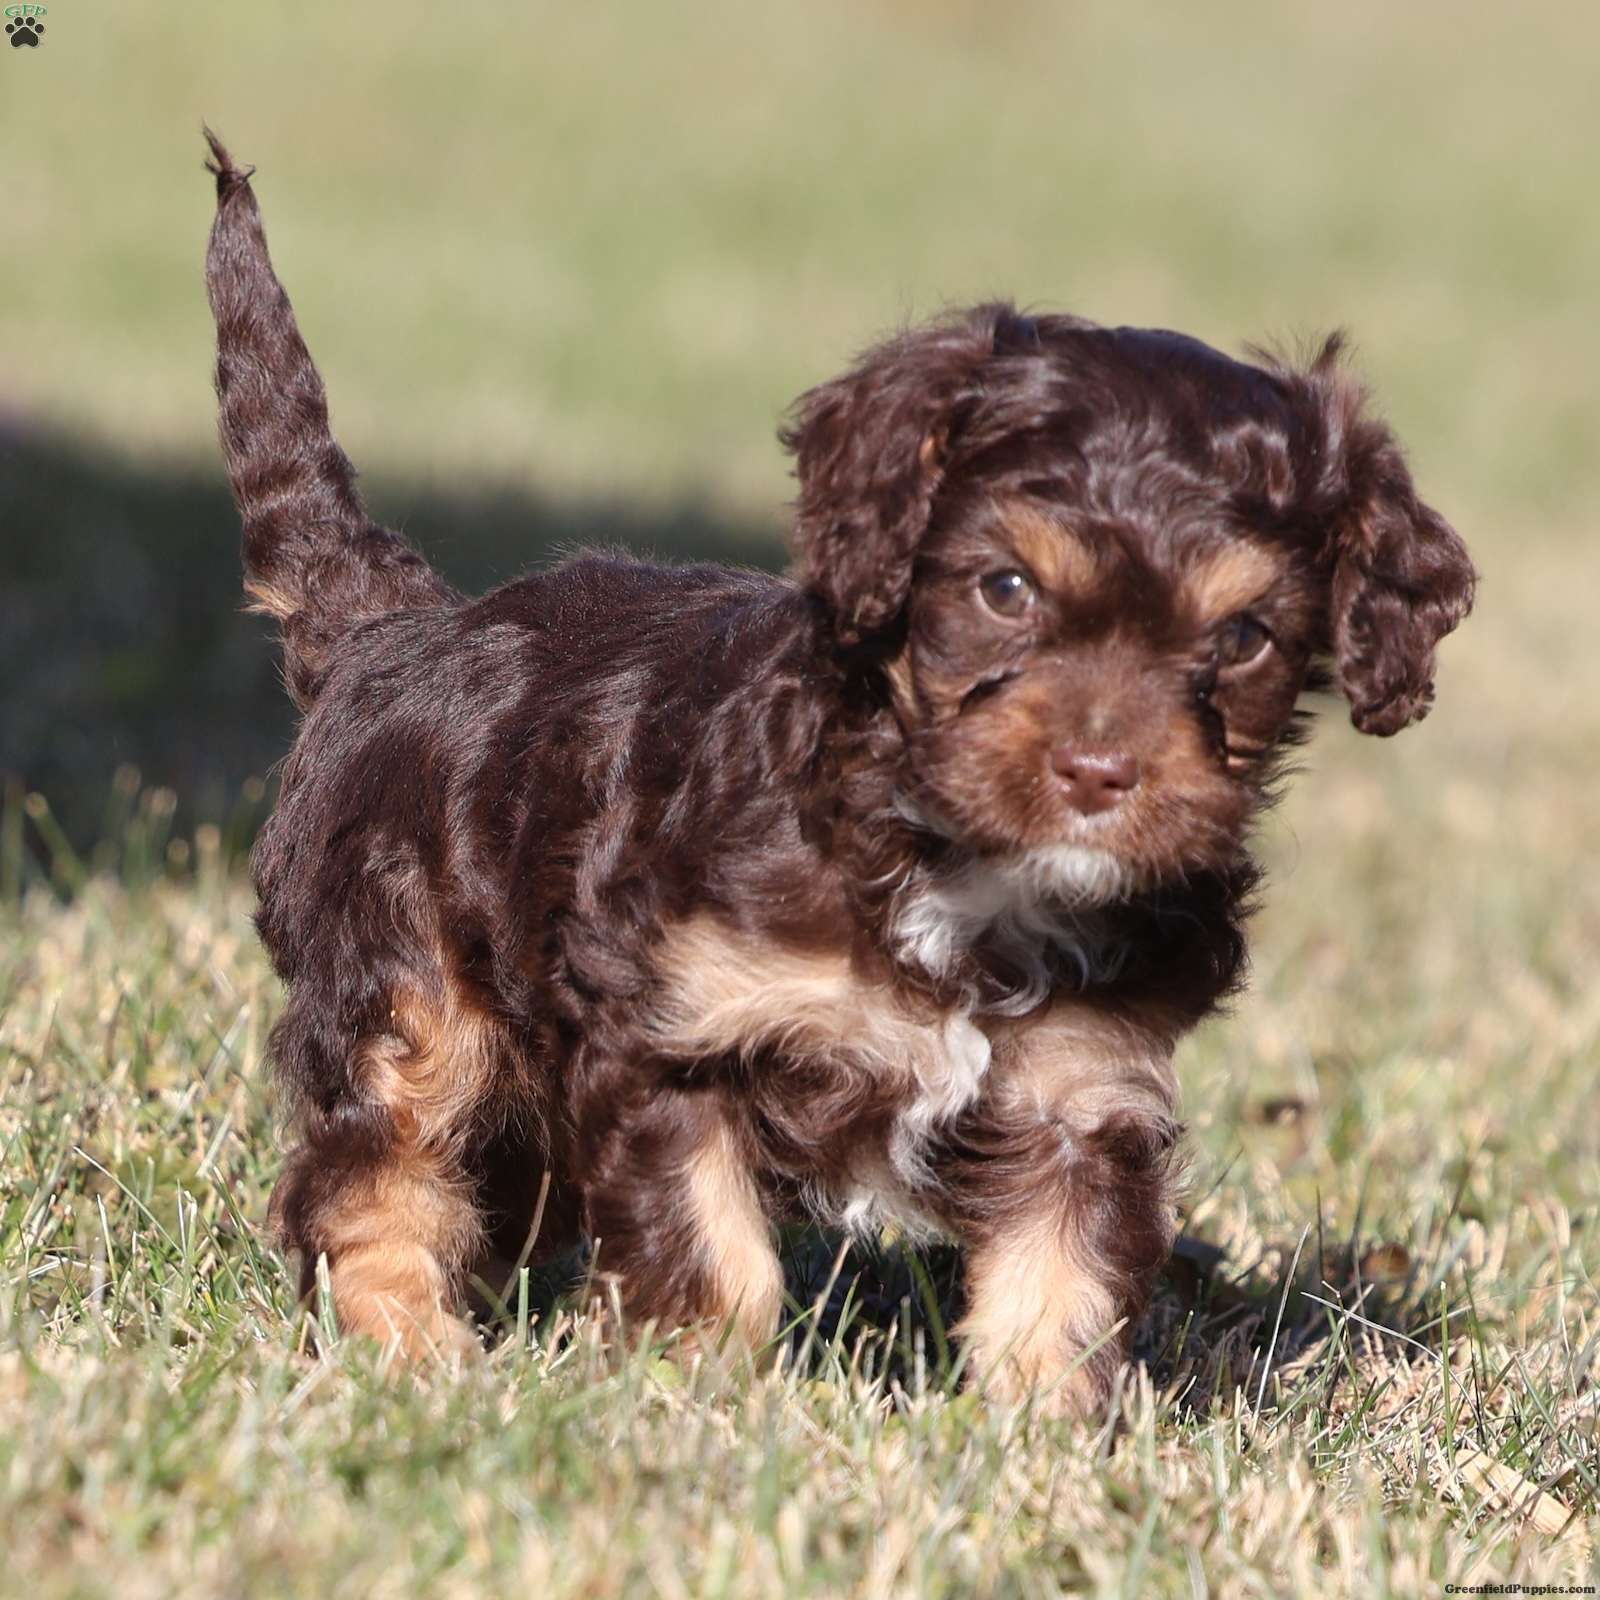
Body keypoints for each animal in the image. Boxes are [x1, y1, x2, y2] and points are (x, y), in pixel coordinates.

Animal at [203, 132, 1474, 1410]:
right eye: (1004, 588)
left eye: (1245, 638)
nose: (1098, 772)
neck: (952, 863)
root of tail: (396, 627)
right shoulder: (676, 1032)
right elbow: (711, 1259)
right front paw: (694, 1402)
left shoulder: (1083, 1090)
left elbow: (1057, 1287)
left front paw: (1043, 1437)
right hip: (406, 993)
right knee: (373, 1172)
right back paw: (410, 1349)